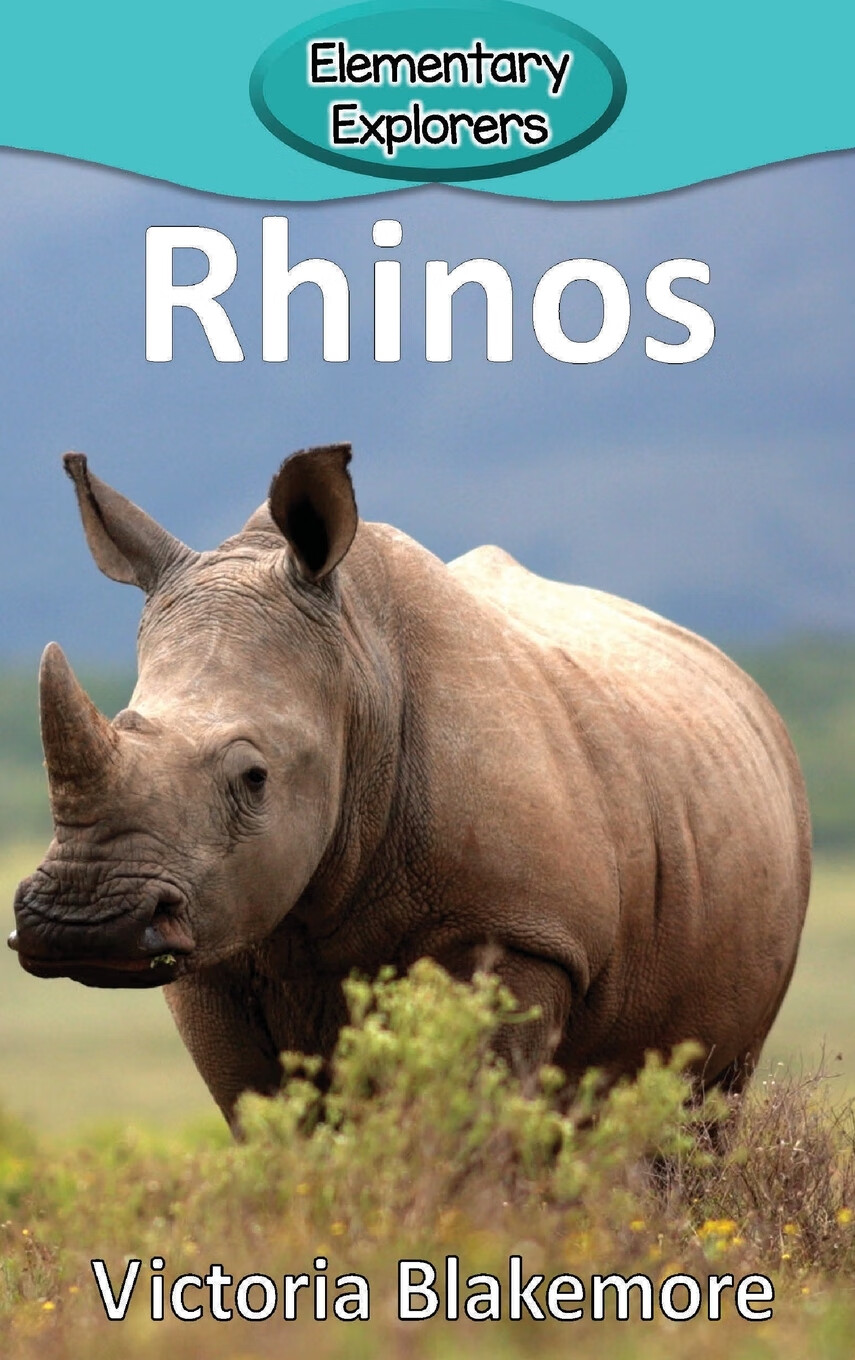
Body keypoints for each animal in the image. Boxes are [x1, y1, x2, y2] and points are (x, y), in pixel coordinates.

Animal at [11, 445, 811, 1128]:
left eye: (255, 778)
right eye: (123, 724)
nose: (83, 924)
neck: (360, 672)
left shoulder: (519, 934)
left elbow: (472, 1124)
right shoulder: (215, 952)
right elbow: (276, 1125)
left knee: (700, 1107)